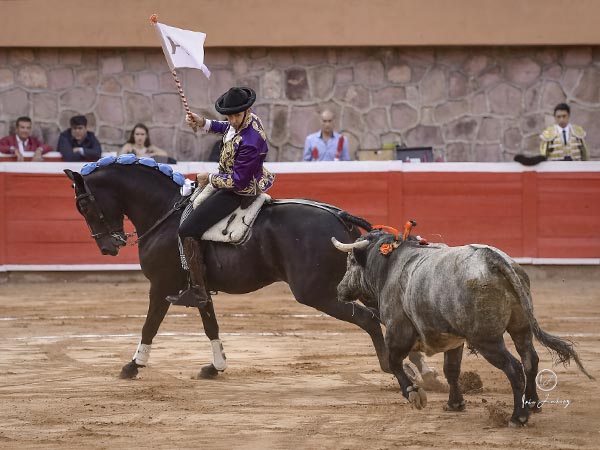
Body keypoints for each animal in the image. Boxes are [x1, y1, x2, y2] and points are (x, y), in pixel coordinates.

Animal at [62, 160, 390, 378]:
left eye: (84, 206)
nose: (108, 247)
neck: (165, 211)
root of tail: (340, 216)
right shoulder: (200, 288)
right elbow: (211, 324)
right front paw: (216, 366)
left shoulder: (160, 286)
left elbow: (150, 324)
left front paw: (133, 365)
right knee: (380, 313)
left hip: (317, 293)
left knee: (369, 318)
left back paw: (389, 366)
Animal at [332, 230, 596, 428]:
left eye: (351, 262)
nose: (339, 289)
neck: (390, 266)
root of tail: (493, 260)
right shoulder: (453, 340)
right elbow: (451, 370)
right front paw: (455, 404)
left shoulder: (398, 333)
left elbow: (394, 363)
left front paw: (414, 394)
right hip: (521, 327)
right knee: (530, 359)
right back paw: (532, 404)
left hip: (486, 340)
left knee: (514, 368)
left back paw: (517, 417)